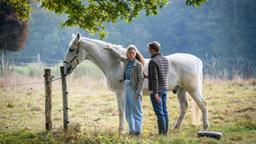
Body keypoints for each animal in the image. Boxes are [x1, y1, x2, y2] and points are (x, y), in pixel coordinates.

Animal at [63, 33, 209, 132]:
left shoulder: (120, 92)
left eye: (71, 49)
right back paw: (176, 127)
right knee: (184, 106)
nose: (65, 68)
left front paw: (121, 130)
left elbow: (121, 111)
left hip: (192, 89)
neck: (115, 63)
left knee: (202, 104)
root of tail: (196, 59)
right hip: (180, 89)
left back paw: (205, 127)